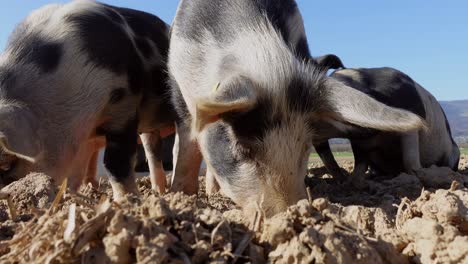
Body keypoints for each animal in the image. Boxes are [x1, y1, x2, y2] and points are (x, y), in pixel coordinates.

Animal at [0, 0, 176, 198]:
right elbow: (76, 172)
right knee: (152, 152)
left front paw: (127, 199)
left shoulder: (124, 104)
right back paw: (159, 192)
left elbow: (114, 162)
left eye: (7, 165)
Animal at [314, 65, 460, 184]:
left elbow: (410, 160)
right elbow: (360, 163)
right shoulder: (359, 142)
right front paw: (350, 183)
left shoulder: (413, 113)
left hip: (455, 154)